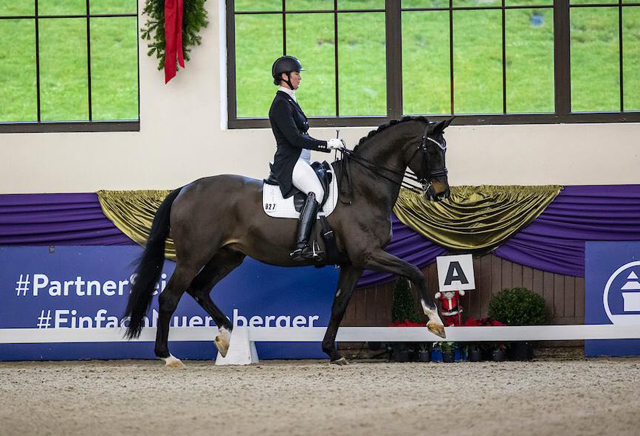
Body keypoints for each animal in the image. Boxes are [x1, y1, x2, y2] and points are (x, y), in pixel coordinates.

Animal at [125, 114, 452, 366]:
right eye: (432, 151)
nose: (441, 192)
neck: (362, 189)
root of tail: (185, 189)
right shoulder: (368, 254)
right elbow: (414, 271)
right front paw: (435, 322)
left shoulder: (354, 262)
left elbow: (339, 305)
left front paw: (332, 352)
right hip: (194, 256)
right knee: (170, 297)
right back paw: (168, 356)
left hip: (228, 255)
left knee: (200, 289)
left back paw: (227, 337)